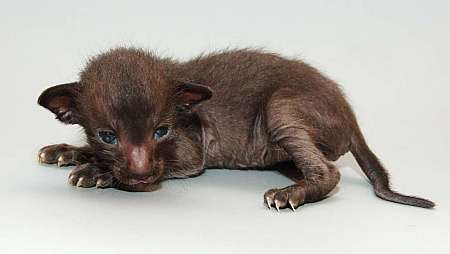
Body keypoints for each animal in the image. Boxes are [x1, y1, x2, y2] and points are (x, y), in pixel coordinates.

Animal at [37, 47, 432, 210]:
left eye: (161, 132)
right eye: (108, 136)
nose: (141, 172)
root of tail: (350, 118)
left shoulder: (191, 152)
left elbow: (163, 168)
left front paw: (97, 173)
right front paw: (71, 152)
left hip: (281, 108)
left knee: (330, 173)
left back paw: (289, 194)